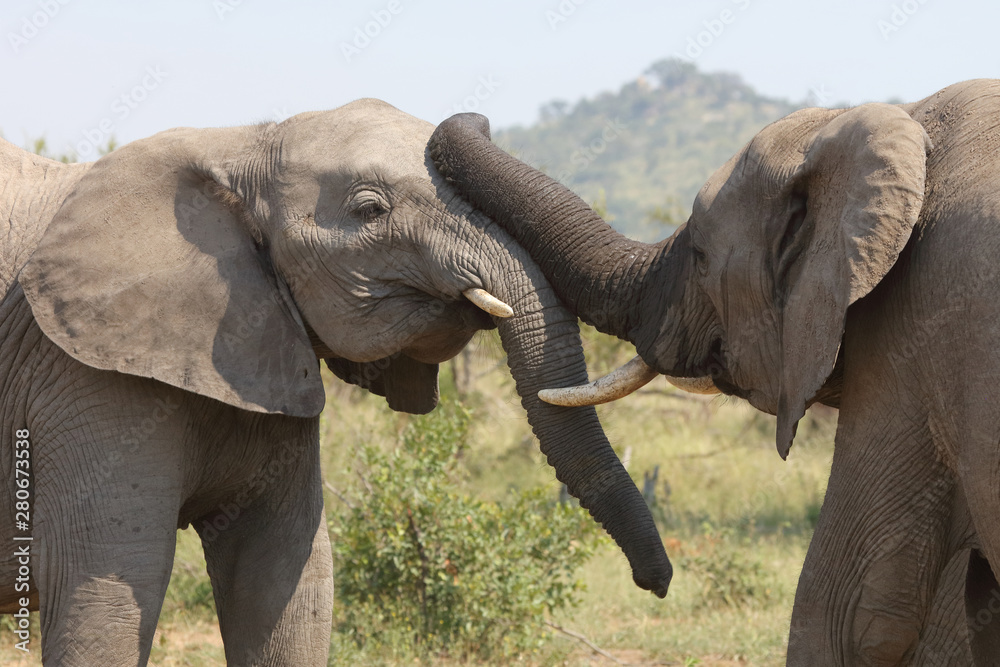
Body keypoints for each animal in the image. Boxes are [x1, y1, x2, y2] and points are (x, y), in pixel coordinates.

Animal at [0, 99, 672, 665]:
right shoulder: (84, 376)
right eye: (370, 210)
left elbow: (285, 577)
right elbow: (105, 584)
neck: (237, 143)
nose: (657, 581)